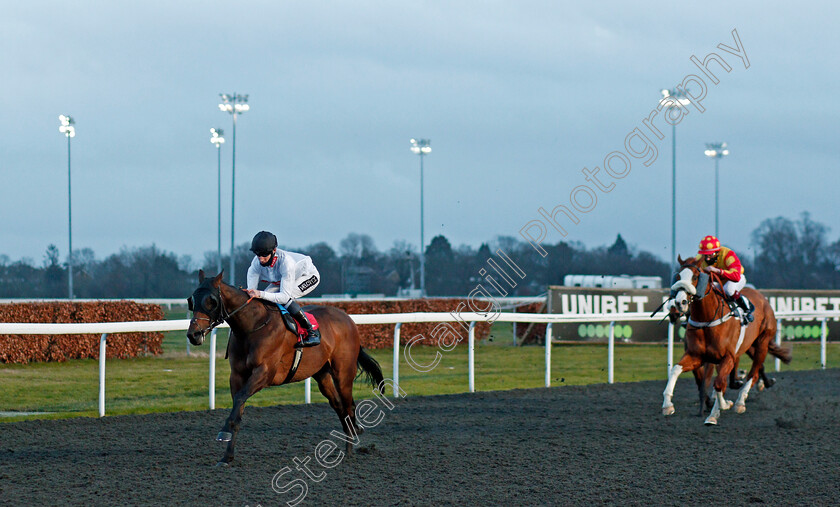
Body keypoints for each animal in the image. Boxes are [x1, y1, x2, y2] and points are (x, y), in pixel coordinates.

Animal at [186, 272, 384, 466]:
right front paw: (226, 456)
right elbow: (238, 407)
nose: (193, 335)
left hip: (343, 373)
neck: (251, 327)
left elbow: (241, 398)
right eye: (192, 300)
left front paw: (224, 433)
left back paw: (349, 450)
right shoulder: (237, 375)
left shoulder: (265, 372)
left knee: (349, 406)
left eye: (211, 301)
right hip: (322, 374)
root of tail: (348, 319)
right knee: (339, 406)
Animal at [660, 256, 792, 426]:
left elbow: (718, 383)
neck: (707, 319)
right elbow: (676, 369)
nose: (679, 303)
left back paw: (741, 401)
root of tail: (762, 298)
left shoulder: (728, 357)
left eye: (695, 277)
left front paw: (722, 407)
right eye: (677, 277)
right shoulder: (697, 356)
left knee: (754, 373)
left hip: (762, 342)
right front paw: (668, 405)